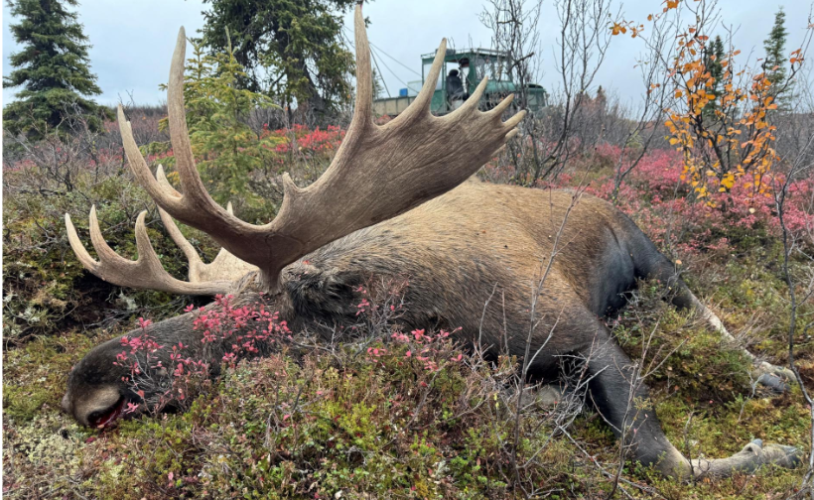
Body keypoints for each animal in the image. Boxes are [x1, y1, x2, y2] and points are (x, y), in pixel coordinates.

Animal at [61, 6, 800, 480]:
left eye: (270, 322)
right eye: (213, 301)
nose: (89, 390)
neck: (432, 314)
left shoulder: (579, 331)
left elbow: (656, 454)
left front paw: (776, 451)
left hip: (654, 257)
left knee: (704, 308)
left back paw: (774, 371)